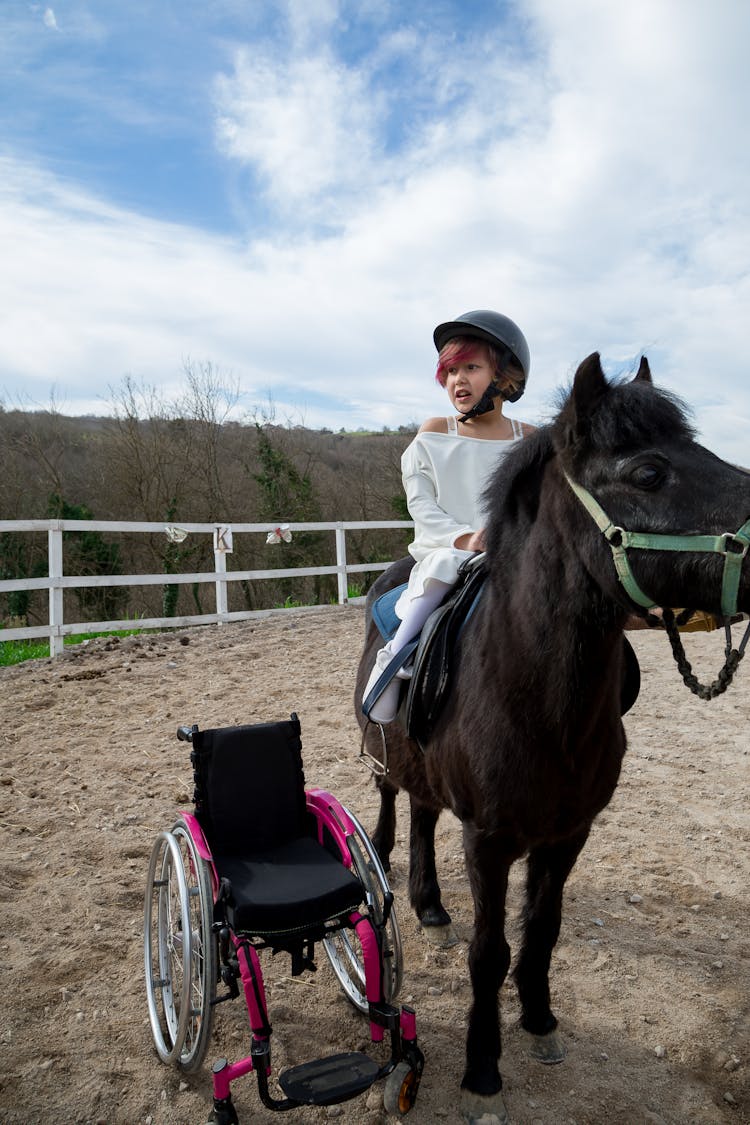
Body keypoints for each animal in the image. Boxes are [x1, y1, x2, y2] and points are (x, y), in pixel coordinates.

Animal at [355, 353, 750, 1125]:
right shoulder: (489, 840)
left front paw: (538, 1022)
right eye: (649, 472)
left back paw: (429, 905)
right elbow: (488, 953)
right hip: (387, 754)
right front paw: (482, 1066)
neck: (539, 702)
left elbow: (541, 931)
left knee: (423, 811)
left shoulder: (568, 833)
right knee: (392, 804)